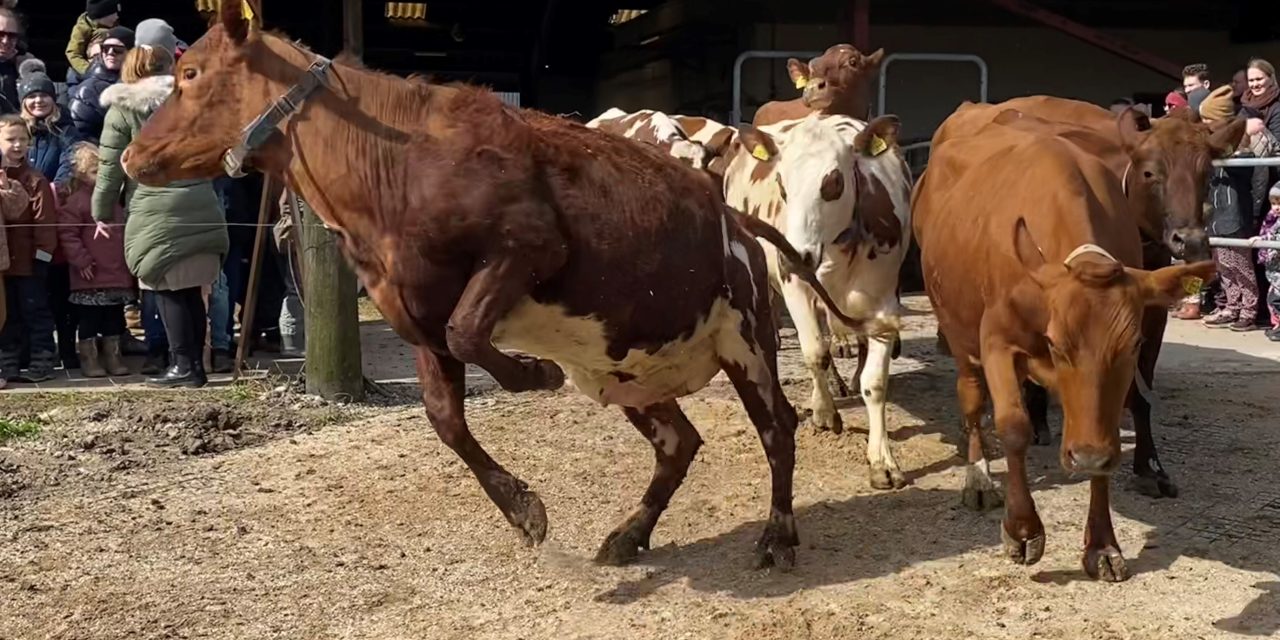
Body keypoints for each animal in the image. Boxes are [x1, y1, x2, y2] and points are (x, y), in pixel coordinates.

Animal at [916, 107, 1213, 583]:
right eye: (1056, 345)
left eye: (1133, 345)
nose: (1086, 457)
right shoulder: (996, 340)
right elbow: (1012, 425)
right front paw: (1022, 530)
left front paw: (1103, 544)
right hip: (957, 329)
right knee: (972, 399)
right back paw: (978, 477)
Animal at [936, 96, 1244, 499]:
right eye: (1150, 173)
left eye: (1206, 174)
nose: (1189, 241)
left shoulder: (1151, 311)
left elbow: (1141, 391)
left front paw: (1150, 467)